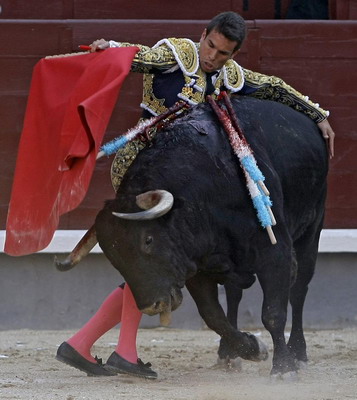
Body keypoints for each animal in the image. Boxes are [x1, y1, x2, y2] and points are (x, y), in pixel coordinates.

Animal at [56, 96, 328, 376]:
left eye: (148, 240)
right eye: (113, 258)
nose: (152, 306)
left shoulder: (275, 252)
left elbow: (273, 313)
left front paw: (283, 367)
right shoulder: (196, 264)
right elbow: (213, 315)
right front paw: (252, 348)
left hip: (312, 228)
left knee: (299, 289)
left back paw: (298, 352)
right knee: (234, 295)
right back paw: (228, 354)